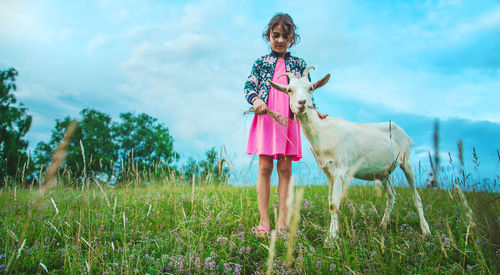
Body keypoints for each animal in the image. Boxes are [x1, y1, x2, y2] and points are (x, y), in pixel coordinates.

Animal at [270, 68, 430, 243]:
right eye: (289, 90)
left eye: (311, 88)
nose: (302, 103)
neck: (323, 131)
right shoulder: (329, 172)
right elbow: (330, 203)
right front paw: (330, 236)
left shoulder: (340, 170)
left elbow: (334, 204)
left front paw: (332, 238)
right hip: (383, 173)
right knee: (391, 195)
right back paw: (383, 225)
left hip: (406, 161)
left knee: (417, 197)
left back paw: (425, 231)